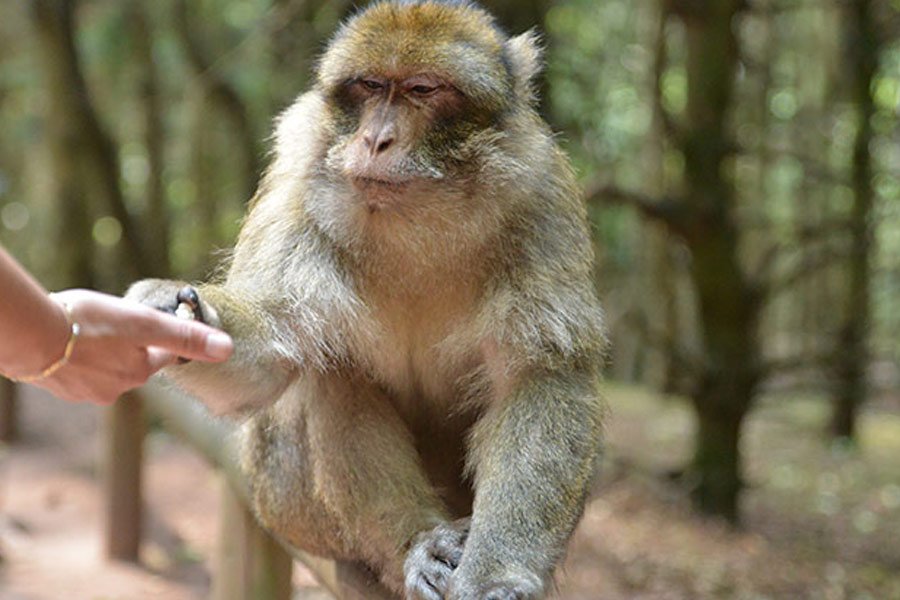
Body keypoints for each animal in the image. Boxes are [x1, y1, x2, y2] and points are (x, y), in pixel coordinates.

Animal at [125, 2, 604, 596]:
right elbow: (270, 357)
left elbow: (540, 377)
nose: (377, 139)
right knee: (332, 372)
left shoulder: (542, 196)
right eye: (371, 86)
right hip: (287, 502)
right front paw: (183, 313)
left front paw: (497, 572)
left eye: (422, 89)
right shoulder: (295, 187)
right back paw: (418, 543)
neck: (418, 219)